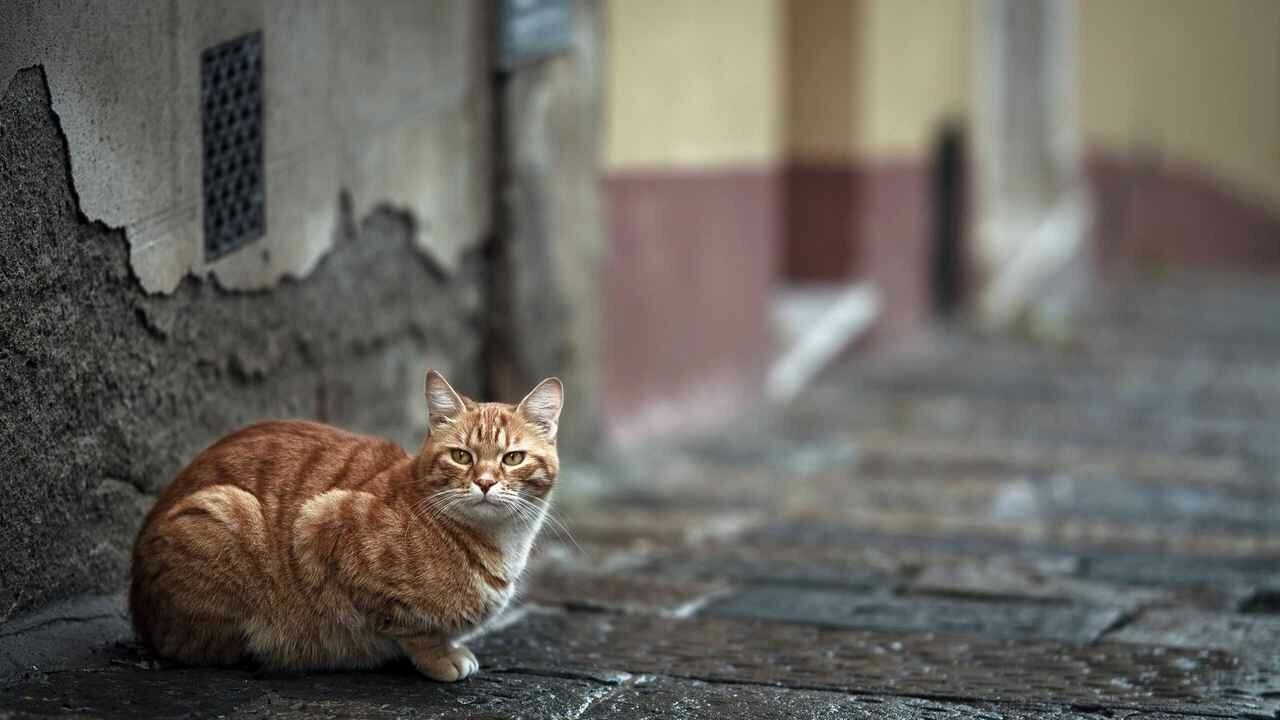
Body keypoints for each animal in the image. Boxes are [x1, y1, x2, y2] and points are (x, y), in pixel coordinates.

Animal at [128, 368, 560, 676]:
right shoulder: (323, 523)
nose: (485, 482)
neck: (499, 542)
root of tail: (138, 612)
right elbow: (410, 626)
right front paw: (441, 656)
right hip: (227, 511)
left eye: (512, 458)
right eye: (461, 456)